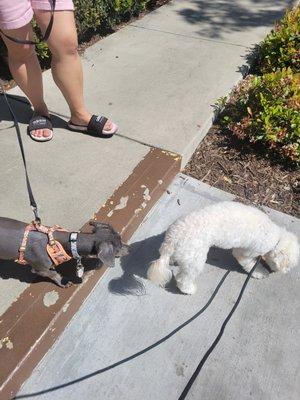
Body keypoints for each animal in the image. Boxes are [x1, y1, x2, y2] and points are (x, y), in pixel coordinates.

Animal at [148, 203, 300, 294]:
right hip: (196, 259)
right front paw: (259, 272)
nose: (285, 272)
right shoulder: (246, 252)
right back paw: (188, 289)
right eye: (289, 266)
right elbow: (249, 263)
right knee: (183, 278)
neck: (276, 237)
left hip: (185, 253)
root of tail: (172, 238)